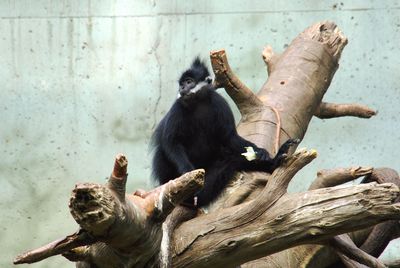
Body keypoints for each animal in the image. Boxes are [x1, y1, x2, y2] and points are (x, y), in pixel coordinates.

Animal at [152, 57, 298, 206]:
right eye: (181, 84)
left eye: (188, 82)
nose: (181, 88)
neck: (199, 102)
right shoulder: (178, 107)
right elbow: (171, 142)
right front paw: (188, 172)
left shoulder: (219, 103)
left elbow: (230, 137)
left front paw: (259, 151)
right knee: (162, 152)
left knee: (231, 158)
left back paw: (274, 162)